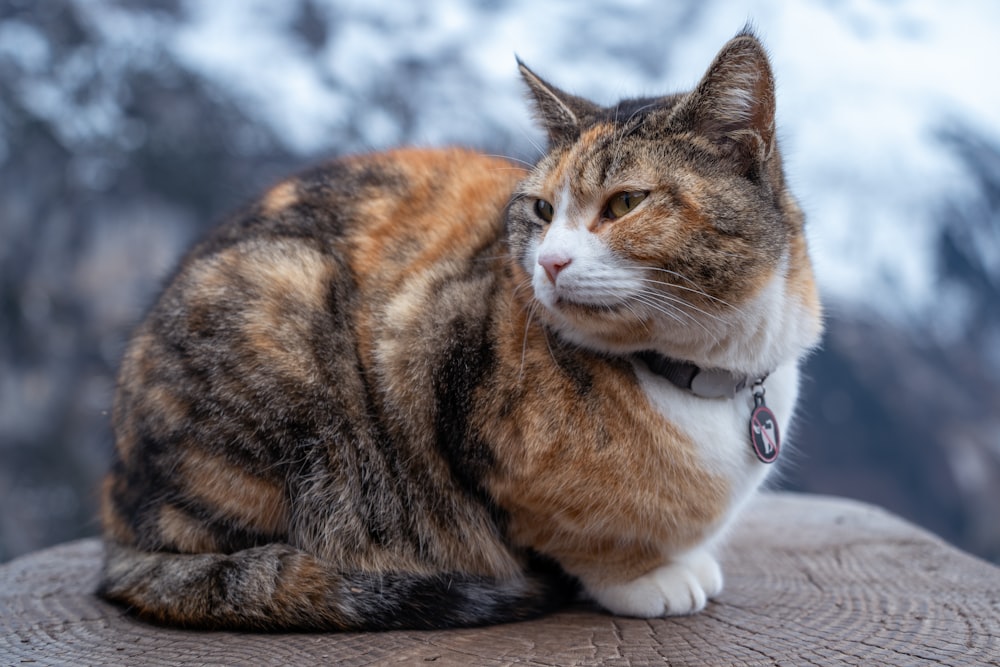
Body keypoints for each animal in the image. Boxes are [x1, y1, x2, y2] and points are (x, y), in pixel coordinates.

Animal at [97, 27, 824, 632]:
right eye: (542, 210)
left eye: (624, 203)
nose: (550, 262)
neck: (700, 372)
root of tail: (119, 523)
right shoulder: (435, 360)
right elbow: (580, 535)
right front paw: (646, 578)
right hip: (282, 310)